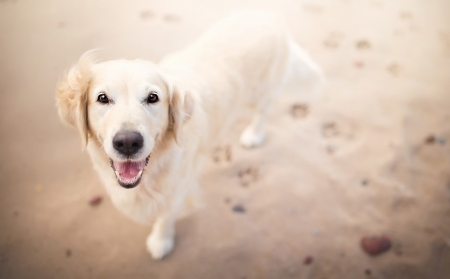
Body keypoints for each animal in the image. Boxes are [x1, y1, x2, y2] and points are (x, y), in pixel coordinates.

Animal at [56, 10, 326, 260]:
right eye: (102, 98)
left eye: (152, 97)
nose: (128, 143)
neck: (155, 167)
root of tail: (265, 14)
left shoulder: (178, 189)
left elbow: (165, 217)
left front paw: (161, 241)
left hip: (263, 91)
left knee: (264, 110)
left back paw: (253, 134)